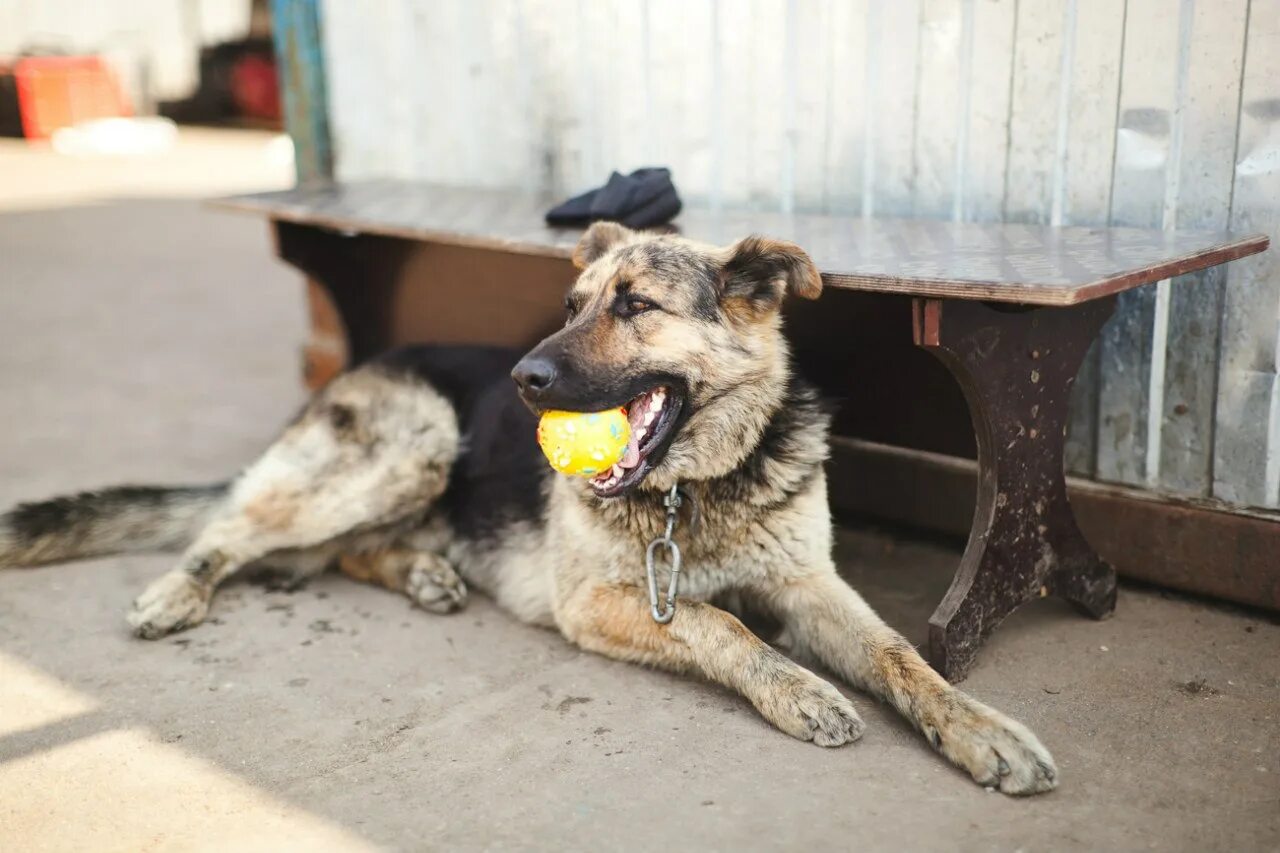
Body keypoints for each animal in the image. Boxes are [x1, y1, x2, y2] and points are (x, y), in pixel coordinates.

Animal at [0, 222, 1054, 794]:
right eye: (574, 302)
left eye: (634, 306)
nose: (522, 379)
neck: (699, 484)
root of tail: (347, 370)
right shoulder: (604, 604)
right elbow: (720, 621)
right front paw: (797, 688)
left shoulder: (810, 583)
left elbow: (902, 655)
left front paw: (983, 729)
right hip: (409, 448)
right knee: (236, 526)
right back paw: (176, 591)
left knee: (343, 550)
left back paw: (426, 572)